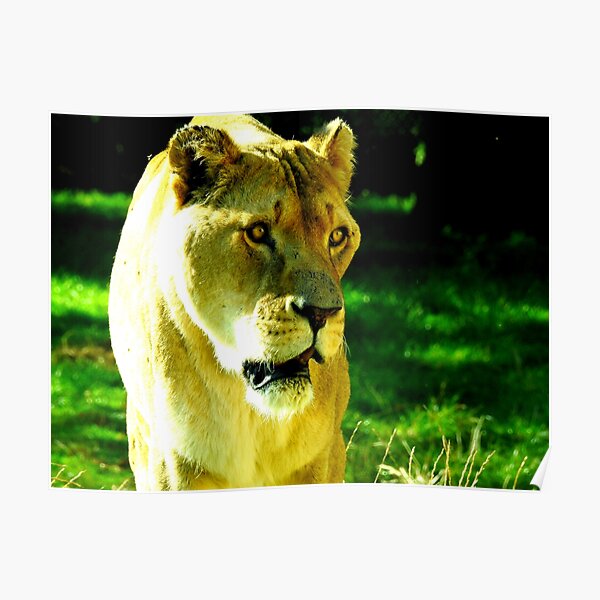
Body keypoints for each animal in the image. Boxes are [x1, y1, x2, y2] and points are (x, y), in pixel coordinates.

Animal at [108, 114, 361, 490]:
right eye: (257, 233)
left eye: (338, 236)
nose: (322, 314)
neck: (254, 414)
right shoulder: (172, 463)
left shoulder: (325, 456)